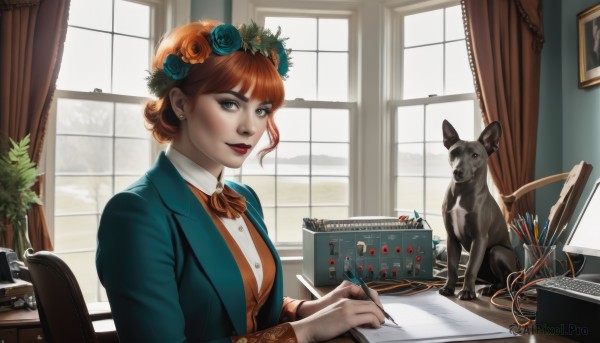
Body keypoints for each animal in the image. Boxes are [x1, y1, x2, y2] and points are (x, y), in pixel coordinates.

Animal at [438, 121, 516, 300]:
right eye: (454, 153)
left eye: (475, 155)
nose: (457, 171)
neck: (462, 192)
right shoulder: (452, 239)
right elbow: (452, 268)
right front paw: (449, 288)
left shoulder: (479, 238)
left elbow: (470, 269)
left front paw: (467, 292)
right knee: (498, 280)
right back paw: (488, 288)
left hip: (497, 252)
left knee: (509, 281)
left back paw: (494, 290)